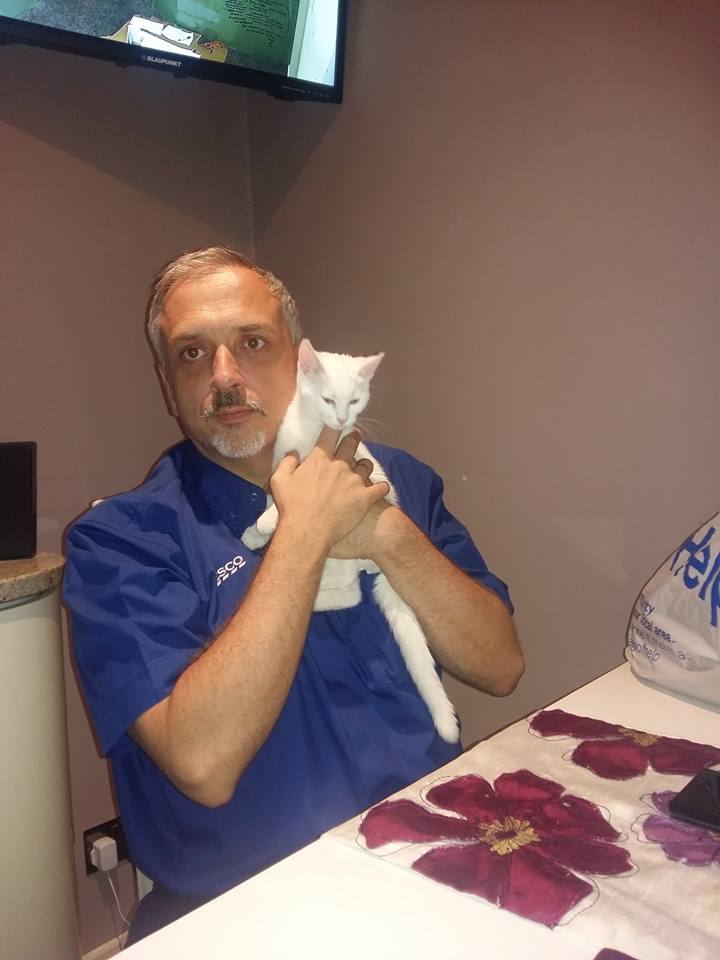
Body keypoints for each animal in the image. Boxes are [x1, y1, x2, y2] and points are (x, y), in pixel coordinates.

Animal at [241, 339, 459, 743]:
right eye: (328, 399)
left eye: (355, 401)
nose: (343, 420)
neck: (314, 434)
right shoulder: (280, 460)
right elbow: (271, 492)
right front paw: (257, 527)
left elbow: (283, 501)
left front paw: (268, 522)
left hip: (340, 558)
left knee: (351, 595)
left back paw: (310, 607)